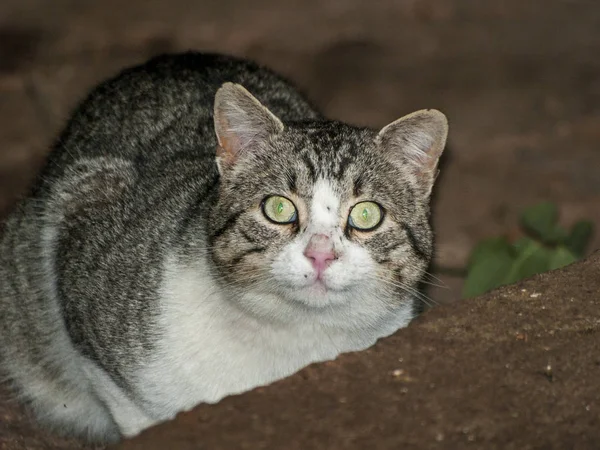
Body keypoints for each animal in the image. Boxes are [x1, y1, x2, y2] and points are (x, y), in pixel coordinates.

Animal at [0, 51, 448, 442]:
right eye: (278, 208)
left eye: (367, 215)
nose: (320, 254)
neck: (298, 338)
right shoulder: (82, 217)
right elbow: (133, 410)